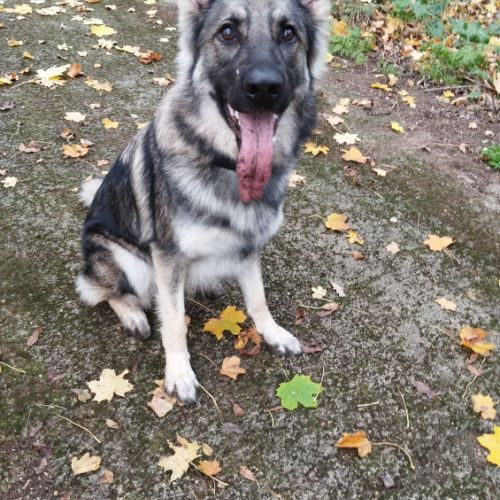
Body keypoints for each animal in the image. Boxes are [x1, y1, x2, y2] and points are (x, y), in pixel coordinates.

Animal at [76, 0, 331, 403]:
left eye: (289, 33)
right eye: (227, 32)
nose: (264, 87)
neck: (227, 164)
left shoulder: (248, 247)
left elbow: (258, 298)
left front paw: (272, 332)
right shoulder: (167, 258)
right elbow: (173, 322)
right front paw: (179, 373)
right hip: (127, 259)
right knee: (98, 289)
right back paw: (132, 313)